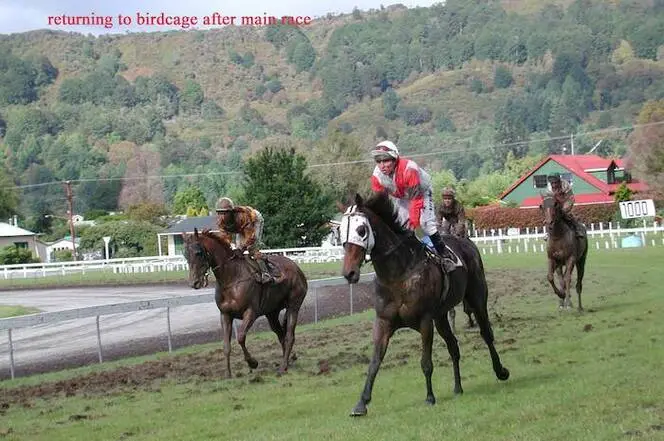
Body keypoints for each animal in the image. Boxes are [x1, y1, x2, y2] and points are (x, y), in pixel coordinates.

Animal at [180, 229, 308, 376]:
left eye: (198, 253)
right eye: (185, 254)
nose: (194, 283)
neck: (232, 278)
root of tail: (297, 268)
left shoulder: (250, 312)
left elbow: (241, 337)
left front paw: (253, 363)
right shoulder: (225, 315)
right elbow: (226, 345)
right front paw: (228, 374)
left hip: (293, 306)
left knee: (289, 336)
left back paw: (282, 367)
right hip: (272, 313)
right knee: (281, 335)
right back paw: (288, 361)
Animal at [340, 192, 510, 416]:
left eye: (361, 230)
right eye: (339, 231)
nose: (349, 273)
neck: (397, 276)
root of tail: (466, 242)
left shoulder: (425, 320)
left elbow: (426, 362)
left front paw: (430, 397)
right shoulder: (384, 321)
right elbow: (375, 361)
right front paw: (361, 403)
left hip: (477, 299)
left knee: (486, 334)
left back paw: (501, 371)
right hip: (441, 316)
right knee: (453, 345)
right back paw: (458, 387)